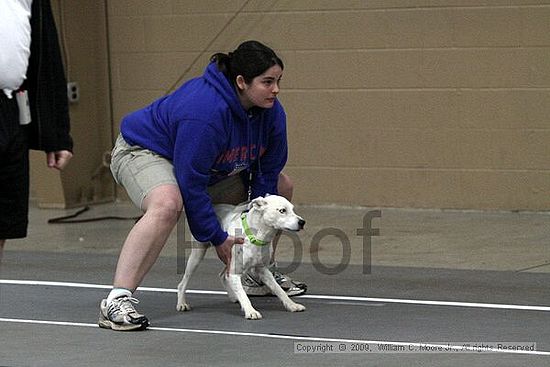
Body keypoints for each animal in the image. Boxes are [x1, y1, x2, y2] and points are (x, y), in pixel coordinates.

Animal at [177, 196, 306, 320]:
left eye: (292, 209)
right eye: (282, 210)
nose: (302, 222)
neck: (255, 237)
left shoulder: (264, 271)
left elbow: (279, 290)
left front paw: (292, 305)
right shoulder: (234, 273)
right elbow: (244, 295)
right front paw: (251, 311)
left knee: (222, 275)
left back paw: (234, 297)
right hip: (197, 255)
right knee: (183, 283)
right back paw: (182, 304)